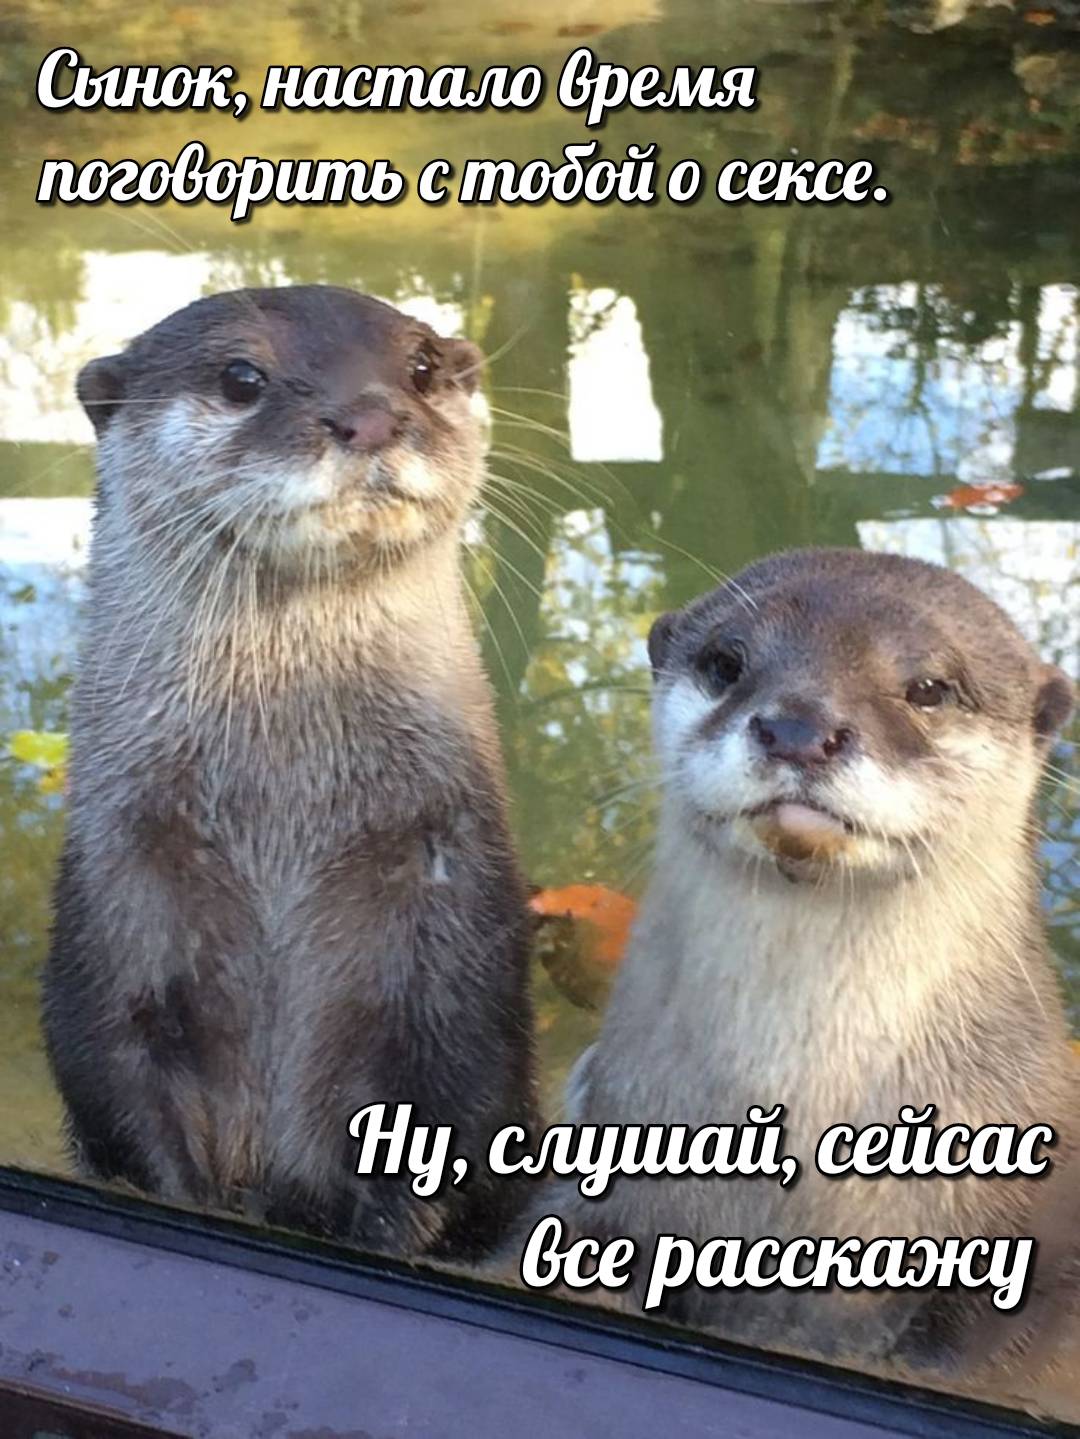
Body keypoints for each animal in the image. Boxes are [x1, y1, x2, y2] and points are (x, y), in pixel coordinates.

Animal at [42, 285, 537, 1259]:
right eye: (243, 377)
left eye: (420, 364)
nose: (371, 413)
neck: (285, 820)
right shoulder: (118, 883)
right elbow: (117, 1080)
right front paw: (191, 1197)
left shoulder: (458, 903)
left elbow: (460, 1104)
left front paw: (391, 1231)